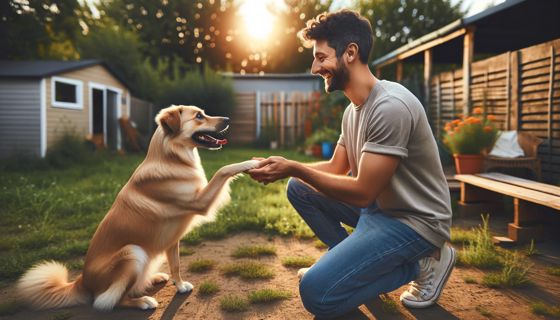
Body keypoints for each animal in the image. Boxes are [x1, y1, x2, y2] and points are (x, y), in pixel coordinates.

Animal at [17, 106, 260, 312]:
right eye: (199, 116)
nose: (227, 119)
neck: (172, 158)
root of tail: (82, 281)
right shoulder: (200, 201)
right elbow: (223, 169)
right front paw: (251, 163)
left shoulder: (172, 240)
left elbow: (176, 265)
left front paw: (180, 286)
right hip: (134, 252)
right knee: (108, 301)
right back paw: (142, 302)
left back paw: (154, 279)